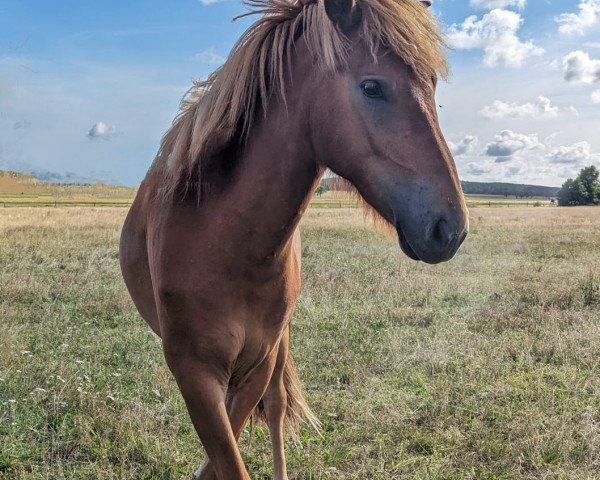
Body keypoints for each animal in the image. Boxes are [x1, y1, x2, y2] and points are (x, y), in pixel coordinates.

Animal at [120, 0, 468, 478]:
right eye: (372, 87)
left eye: (432, 86)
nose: (451, 228)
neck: (220, 239)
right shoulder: (195, 376)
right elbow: (225, 460)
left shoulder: (257, 365)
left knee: (278, 407)